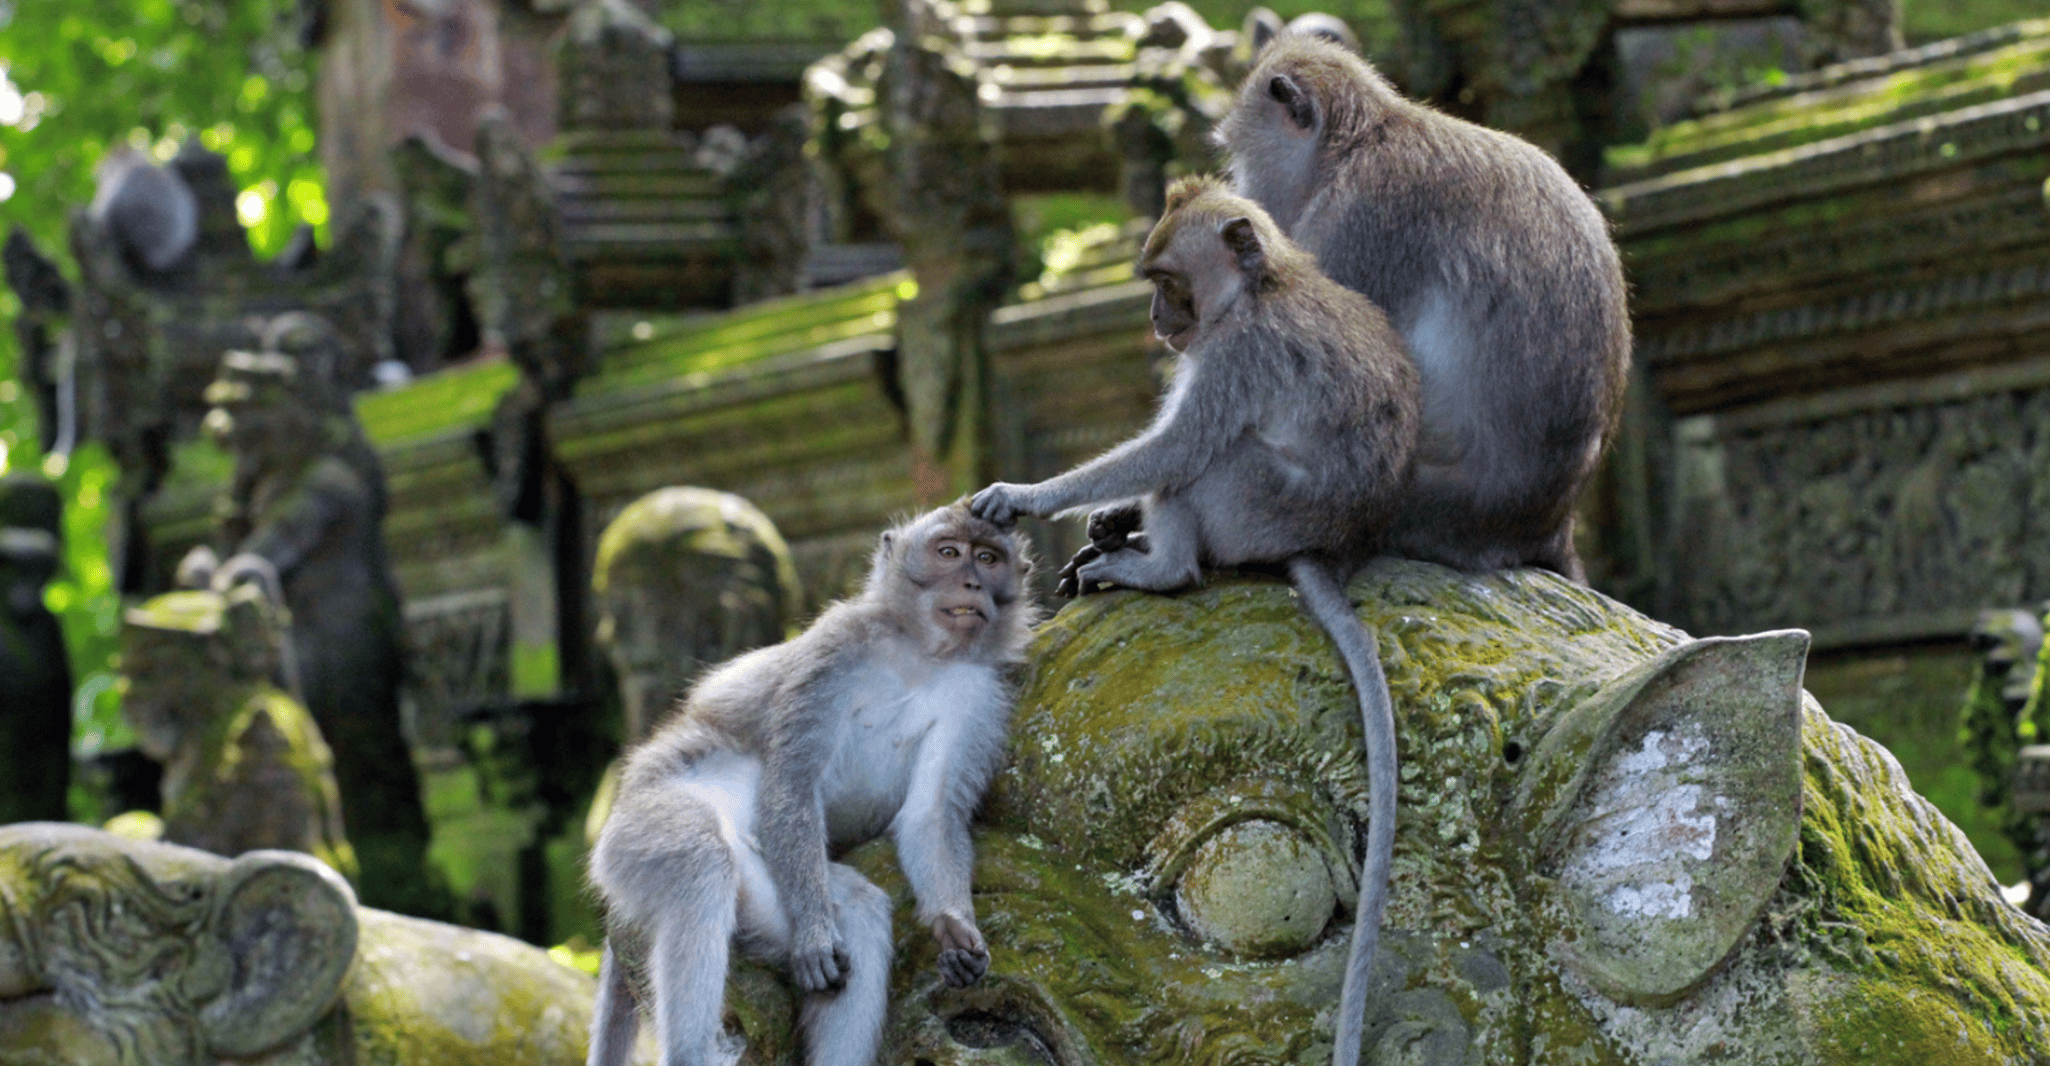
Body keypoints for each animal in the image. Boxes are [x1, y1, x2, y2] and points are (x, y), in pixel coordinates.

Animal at [585, 503, 1038, 1066]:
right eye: (949, 552)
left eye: (989, 558)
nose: (973, 583)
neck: (920, 654)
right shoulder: (838, 645)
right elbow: (793, 780)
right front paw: (819, 939)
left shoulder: (980, 693)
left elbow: (930, 815)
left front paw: (954, 928)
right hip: (644, 825)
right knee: (699, 860)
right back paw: (694, 1046)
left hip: (766, 886)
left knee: (858, 911)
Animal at [969, 176, 1416, 1066]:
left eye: (1169, 282)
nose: (1156, 321)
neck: (1261, 289)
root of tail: (1328, 546)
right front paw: (1107, 516)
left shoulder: (1236, 355)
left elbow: (1173, 451)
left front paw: (1029, 497)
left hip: (1253, 507)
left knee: (1204, 462)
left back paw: (1159, 565)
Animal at [1215, 34, 1631, 581]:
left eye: (1241, 155)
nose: (1244, 195)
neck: (1358, 143)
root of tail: (1549, 525)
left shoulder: (1359, 218)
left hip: (1424, 505)